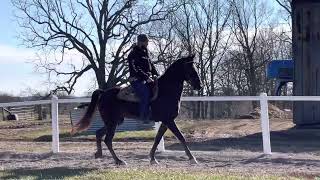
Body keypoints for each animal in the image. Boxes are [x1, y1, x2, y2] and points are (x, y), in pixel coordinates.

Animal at [72, 54, 202, 165]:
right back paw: (119, 161)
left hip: (115, 121)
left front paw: (152, 158)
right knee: (108, 140)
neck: (166, 90)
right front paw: (192, 158)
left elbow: (157, 139)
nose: (199, 85)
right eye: (191, 68)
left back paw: (99, 154)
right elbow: (181, 137)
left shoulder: (165, 121)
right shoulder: (169, 120)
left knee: (99, 133)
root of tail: (104, 93)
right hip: (112, 122)